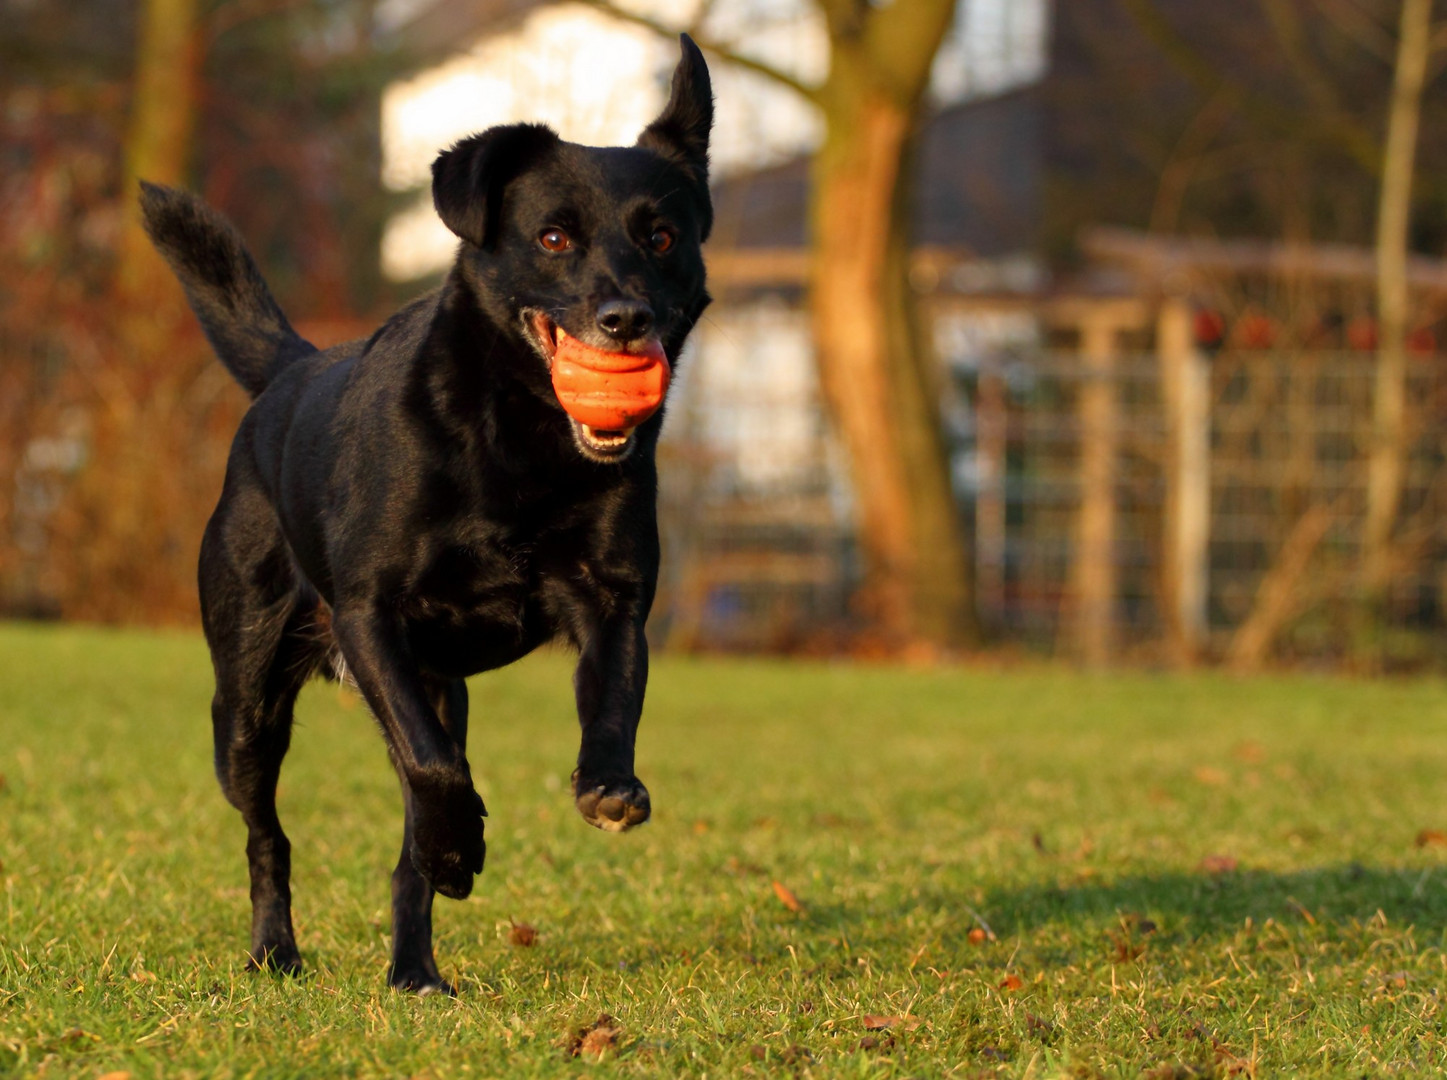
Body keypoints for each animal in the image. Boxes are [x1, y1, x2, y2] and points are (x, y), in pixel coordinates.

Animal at [139, 35, 711, 990]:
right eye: (553, 237)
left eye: (661, 237)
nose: (625, 318)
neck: (520, 443)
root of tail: (293, 370)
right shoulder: (372, 618)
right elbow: (433, 768)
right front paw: (458, 849)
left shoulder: (613, 603)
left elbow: (610, 705)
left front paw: (607, 787)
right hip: (247, 703)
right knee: (271, 833)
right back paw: (277, 950)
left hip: (435, 686)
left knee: (404, 841)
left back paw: (413, 969)